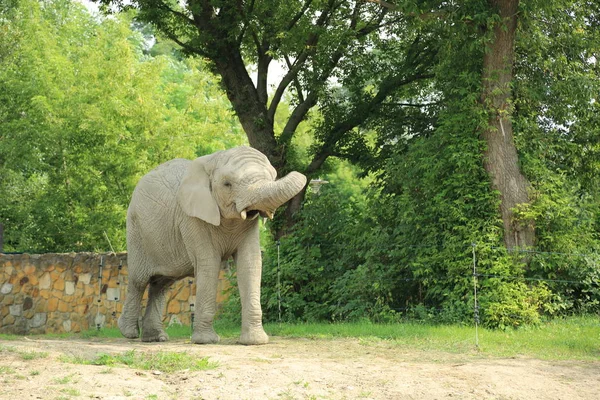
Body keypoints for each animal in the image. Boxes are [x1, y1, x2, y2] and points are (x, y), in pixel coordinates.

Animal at [118, 145, 304, 346]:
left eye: (272, 175)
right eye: (227, 184)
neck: (214, 160)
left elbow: (250, 264)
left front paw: (255, 341)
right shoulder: (192, 218)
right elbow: (209, 264)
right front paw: (206, 341)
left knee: (162, 283)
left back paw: (155, 338)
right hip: (136, 231)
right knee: (139, 281)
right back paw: (128, 332)